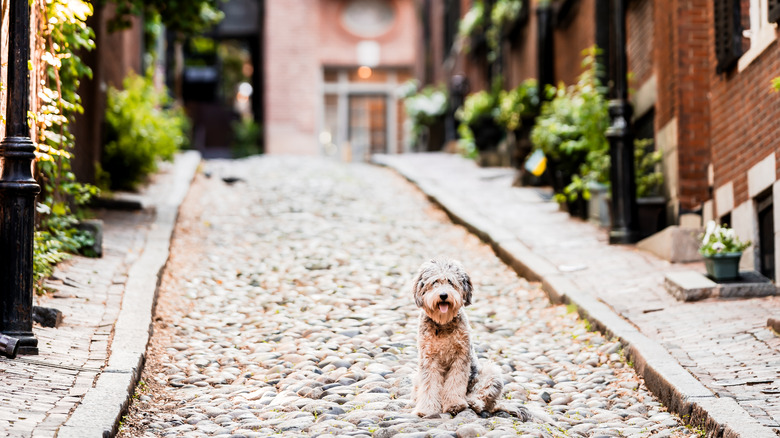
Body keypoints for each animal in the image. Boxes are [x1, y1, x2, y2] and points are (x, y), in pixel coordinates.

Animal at [408, 260, 512, 418]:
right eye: (435, 282)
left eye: (451, 282)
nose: (443, 295)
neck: (443, 323)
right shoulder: (428, 359)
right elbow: (429, 385)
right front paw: (427, 409)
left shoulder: (461, 357)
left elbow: (456, 382)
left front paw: (454, 404)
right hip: (416, 377)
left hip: (490, 374)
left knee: (483, 396)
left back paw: (472, 402)